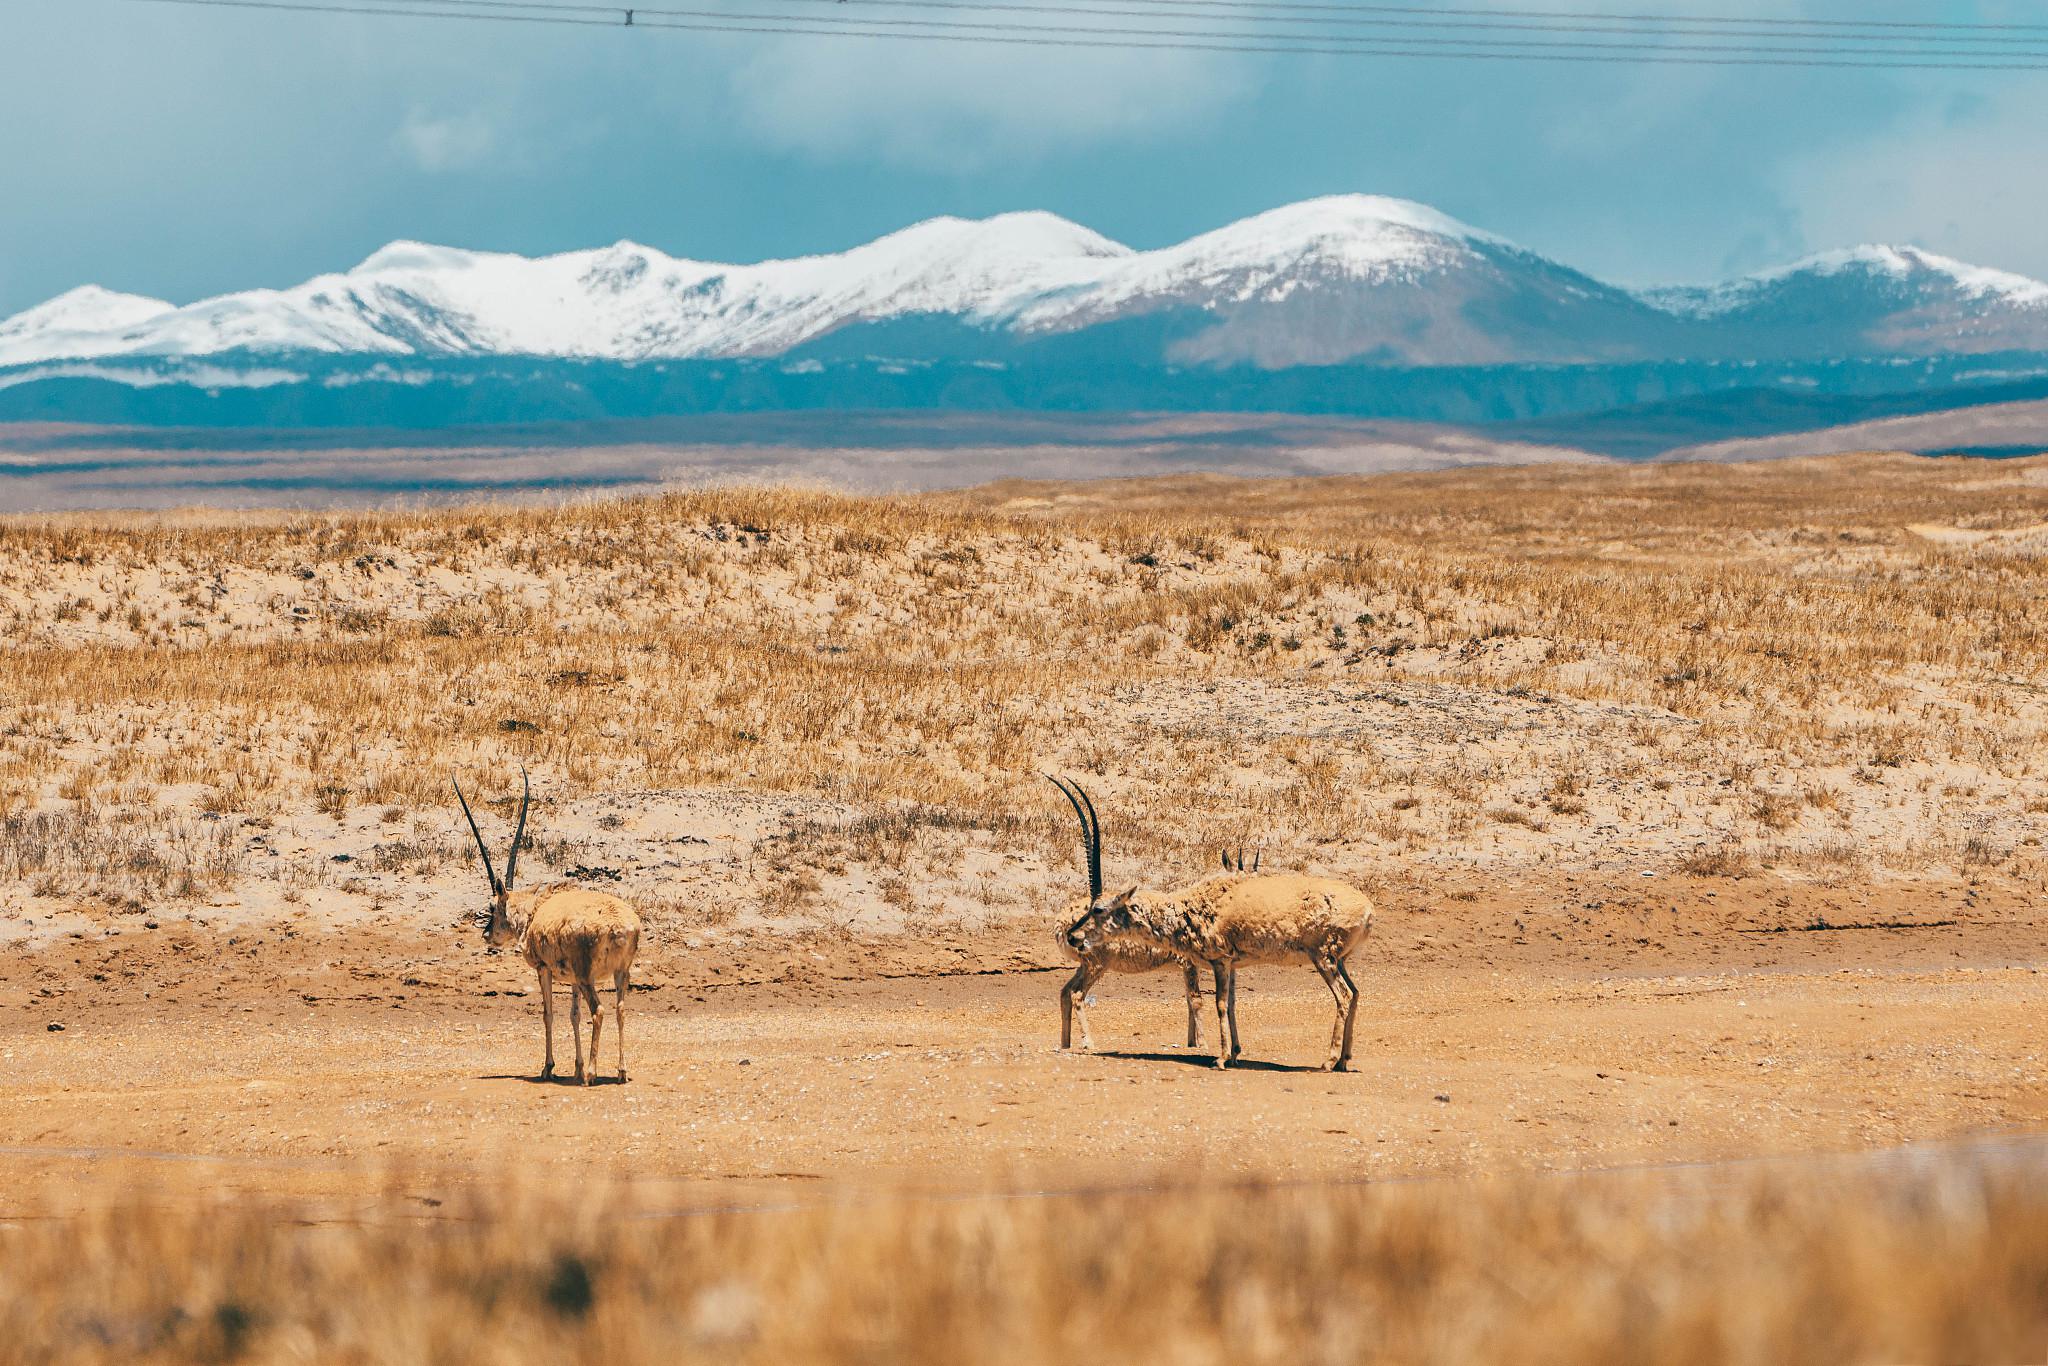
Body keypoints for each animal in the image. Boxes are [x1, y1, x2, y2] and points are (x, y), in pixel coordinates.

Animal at [456, 770, 638, 1089]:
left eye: (492, 906)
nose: (487, 936)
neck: (535, 910)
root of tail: (619, 925)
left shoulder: (544, 970)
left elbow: (548, 1013)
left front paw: (549, 1067)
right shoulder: (574, 981)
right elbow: (574, 1015)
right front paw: (576, 1067)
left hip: (588, 976)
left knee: (599, 1010)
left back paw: (592, 1074)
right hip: (620, 973)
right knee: (620, 1010)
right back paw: (620, 1071)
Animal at [1048, 774, 1204, 1056]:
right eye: (1096, 909)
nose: (1074, 935)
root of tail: (1060, 924)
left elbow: (1189, 1000)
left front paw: (1192, 1043)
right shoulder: (1188, 962)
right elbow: (1196, 1000)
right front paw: (1203, 1044)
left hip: (1086, 964)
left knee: (1065, 992)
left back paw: (1065, 1045)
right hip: (1095, 965)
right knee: (1076, 995)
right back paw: (1089, 1043)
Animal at [1056, 790, 1376, 1064]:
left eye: (1098, 908)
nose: (1075, 936)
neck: (1190, 905)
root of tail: (1368, 909)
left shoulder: (1219, 961)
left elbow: (1218, 1004)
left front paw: (1220, 1058)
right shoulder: (1231, 964)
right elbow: (1231, 1004)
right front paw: (1234, 1053)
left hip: (1324, 958)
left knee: (1344, 996)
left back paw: (1329, 1061)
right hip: (1339, 960)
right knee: (1356, 993)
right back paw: (1344, 1060)